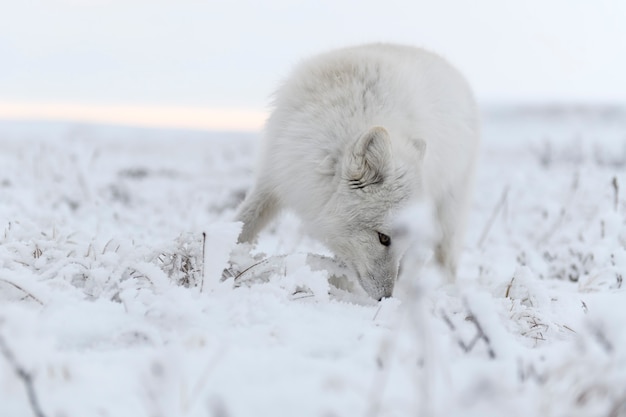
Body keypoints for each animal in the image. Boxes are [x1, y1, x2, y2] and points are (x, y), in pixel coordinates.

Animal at [234, 43, 478, 300]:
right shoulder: (275, 175)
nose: (386, 297)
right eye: (383, 238)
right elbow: (243, 223)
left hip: (448, 219)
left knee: (447, 264)